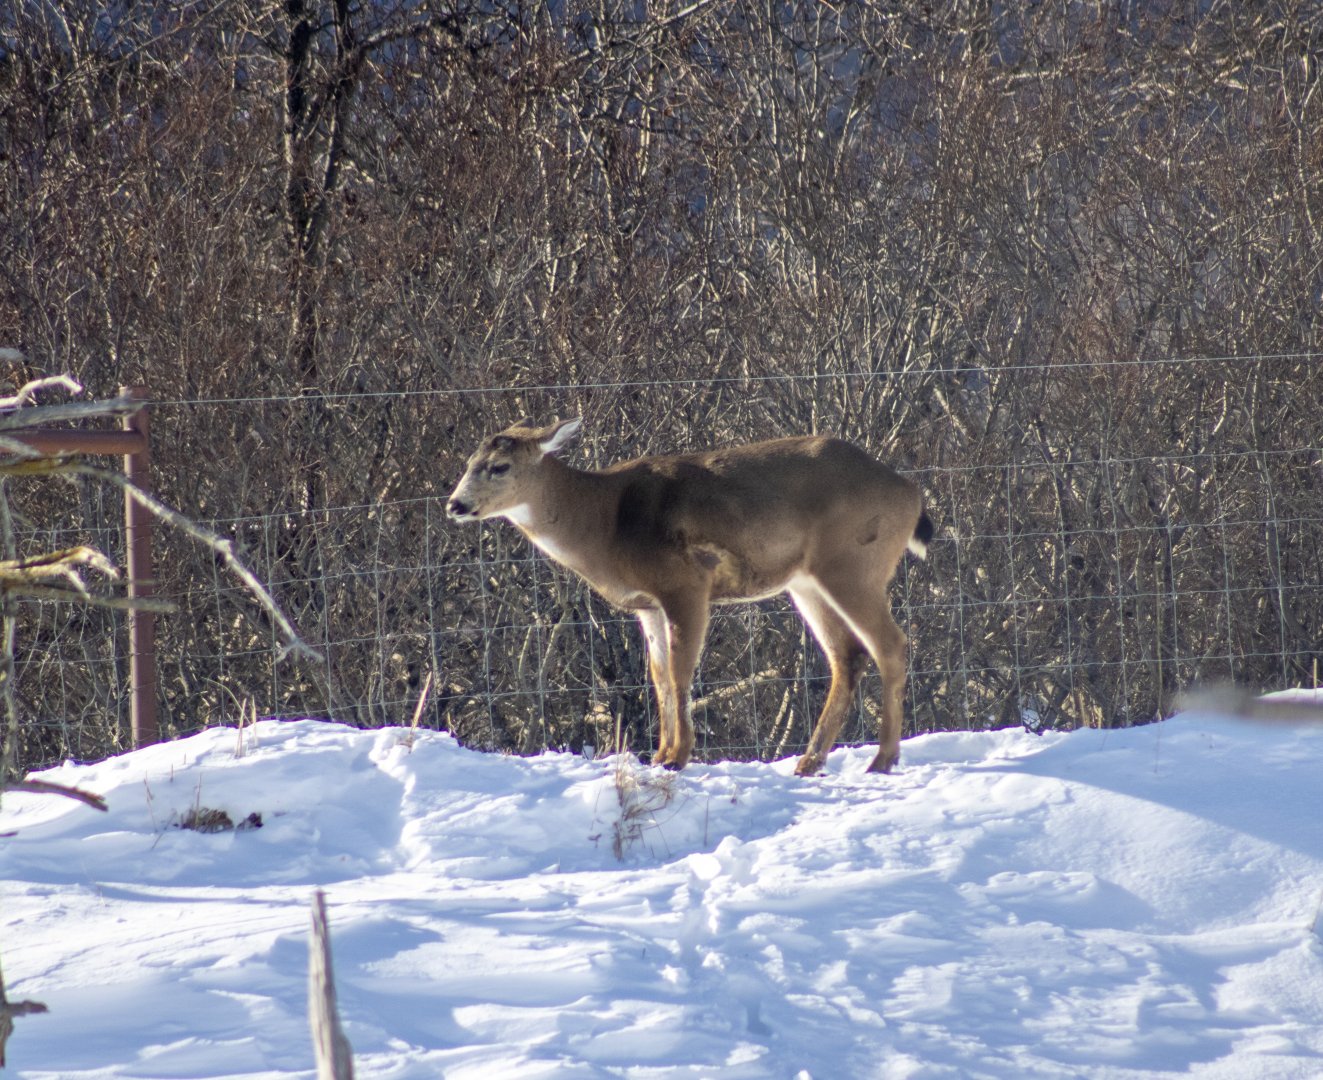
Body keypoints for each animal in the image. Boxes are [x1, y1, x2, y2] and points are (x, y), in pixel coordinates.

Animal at [446, 418, 933, 776]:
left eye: (499, 465)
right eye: (469, 461)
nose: (454, 505)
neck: (606, 523)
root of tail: (911, 493)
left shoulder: (686, 584)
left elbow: (681, 674)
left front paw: (678, 758)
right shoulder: (648, 605)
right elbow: (659, 676)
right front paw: (660, 756)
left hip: (852, 564)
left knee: (890, 644)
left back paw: (881, 760)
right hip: (806, 582)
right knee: (847, 656)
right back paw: (810, 762)